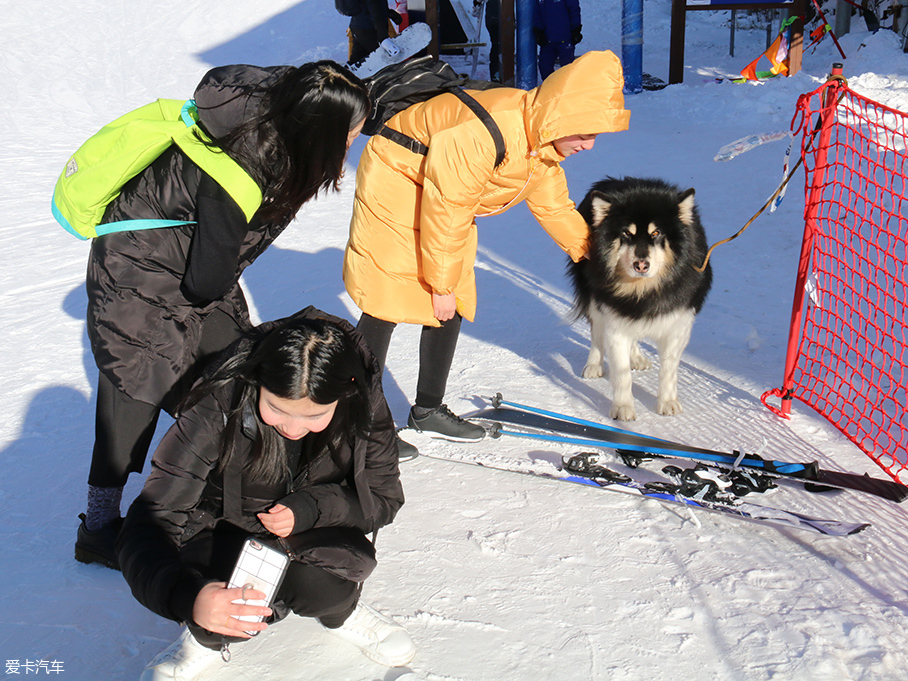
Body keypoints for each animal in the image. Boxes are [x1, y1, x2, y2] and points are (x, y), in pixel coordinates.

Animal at [572, 175, 712, 420]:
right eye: (627, 233)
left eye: (656, 233)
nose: (641, 264)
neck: (644, 289)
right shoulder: (615, 321)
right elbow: (621, 373)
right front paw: (623, 408)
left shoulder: (678, 325)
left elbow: (668, 369)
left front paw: (668, 402)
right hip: (594, 299)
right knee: (597, 332)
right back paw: (594, 364)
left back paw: (636, 357)